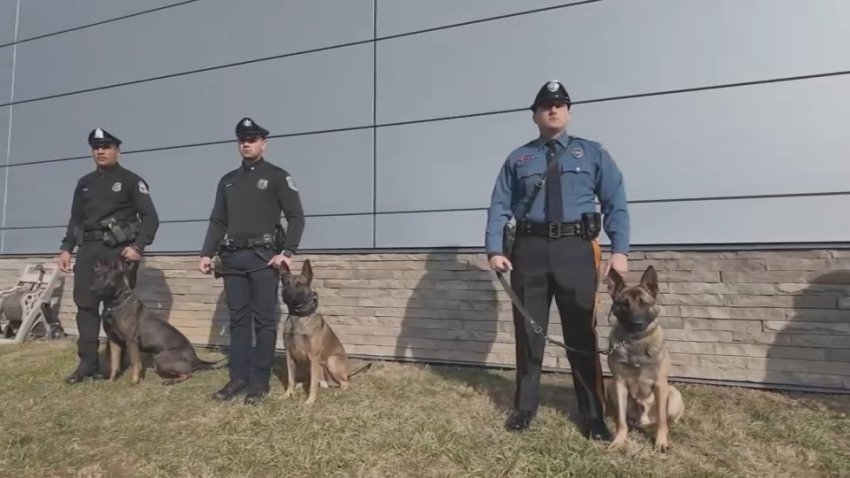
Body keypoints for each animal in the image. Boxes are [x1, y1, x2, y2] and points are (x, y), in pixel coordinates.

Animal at [91, 256, 227, 386]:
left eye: (108, 278)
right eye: (95, 277)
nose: (91, 289)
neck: (115, 304)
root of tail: (196, 358)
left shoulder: (131, 341)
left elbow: (135, 364)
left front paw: (134, 382)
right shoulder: (114, 341)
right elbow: (115, 364)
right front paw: (111, 381)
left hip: (160, 358)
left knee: (188, 374)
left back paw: (169, 381)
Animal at [280, 260, 370, 406]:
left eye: (299, 284)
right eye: (285, 283)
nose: (287, 295)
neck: (298, 317)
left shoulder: (312, 356)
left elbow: (312, 385)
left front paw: (310, 401)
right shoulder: (289, 355)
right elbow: (291, 379)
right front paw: (287, 394)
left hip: (331, 361)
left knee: (344, 383)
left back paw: (338, 391)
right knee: (319, 381)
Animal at [604, 266, 684, 452]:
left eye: (644, 304)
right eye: (624, 304)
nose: (637, 323)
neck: (636, 342)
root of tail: (646, 420)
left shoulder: (660, 383)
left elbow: (662, 419)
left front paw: (661, 442)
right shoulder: (619, 383)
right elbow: (621, 421)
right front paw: (619, 440)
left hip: (673, 394)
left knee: (667, 419)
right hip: (610, 386)